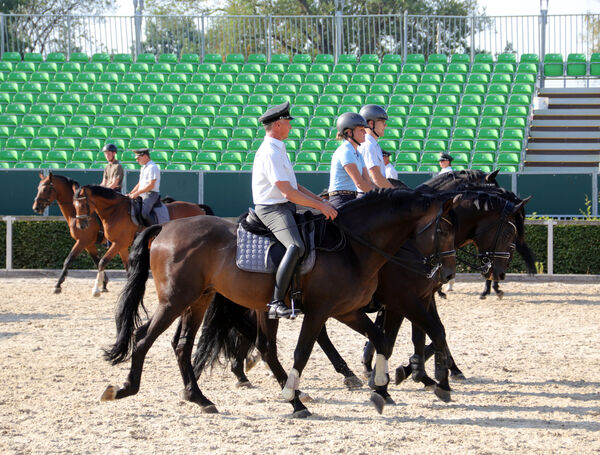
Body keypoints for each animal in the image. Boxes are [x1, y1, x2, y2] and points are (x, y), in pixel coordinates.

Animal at [73, 183, 213, 298]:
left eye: (83, 205)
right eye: (74, 205)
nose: (81, 226)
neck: (116, 211)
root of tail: (197, 207)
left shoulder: (118, 243)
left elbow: (102, 262)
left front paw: (96, 290)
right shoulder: (122, 246)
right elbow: (127, 267)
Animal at [102, 189, 460, 416]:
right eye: (442, 230)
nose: (448, 272)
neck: (354, 246)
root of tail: (164, 228)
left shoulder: (348, 311)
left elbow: (383, 338)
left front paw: (384, 386)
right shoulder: (326, 311)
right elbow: (303, 351)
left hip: (201, 300)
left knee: (187, 344)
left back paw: (200, 397)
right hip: (176, 300)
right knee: (145, 338)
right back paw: (126, 388)